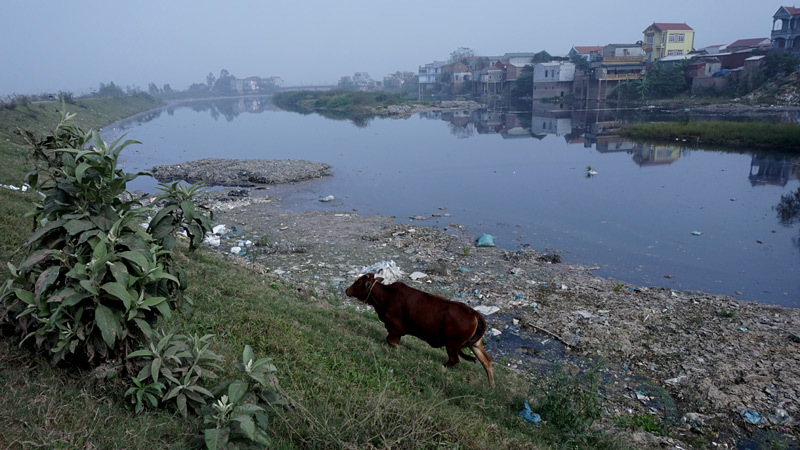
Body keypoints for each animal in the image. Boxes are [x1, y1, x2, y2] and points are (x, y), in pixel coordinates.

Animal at [346, 272, 494, 384]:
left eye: (358, 282)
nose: (347, 290)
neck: (387, 296)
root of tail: (474, 313)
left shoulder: (395, 329)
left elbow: (391, 341)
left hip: (452, 344)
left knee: (454, 360)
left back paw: (442, 367)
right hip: (474, 344)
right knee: (486, 361)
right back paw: (491, 385)